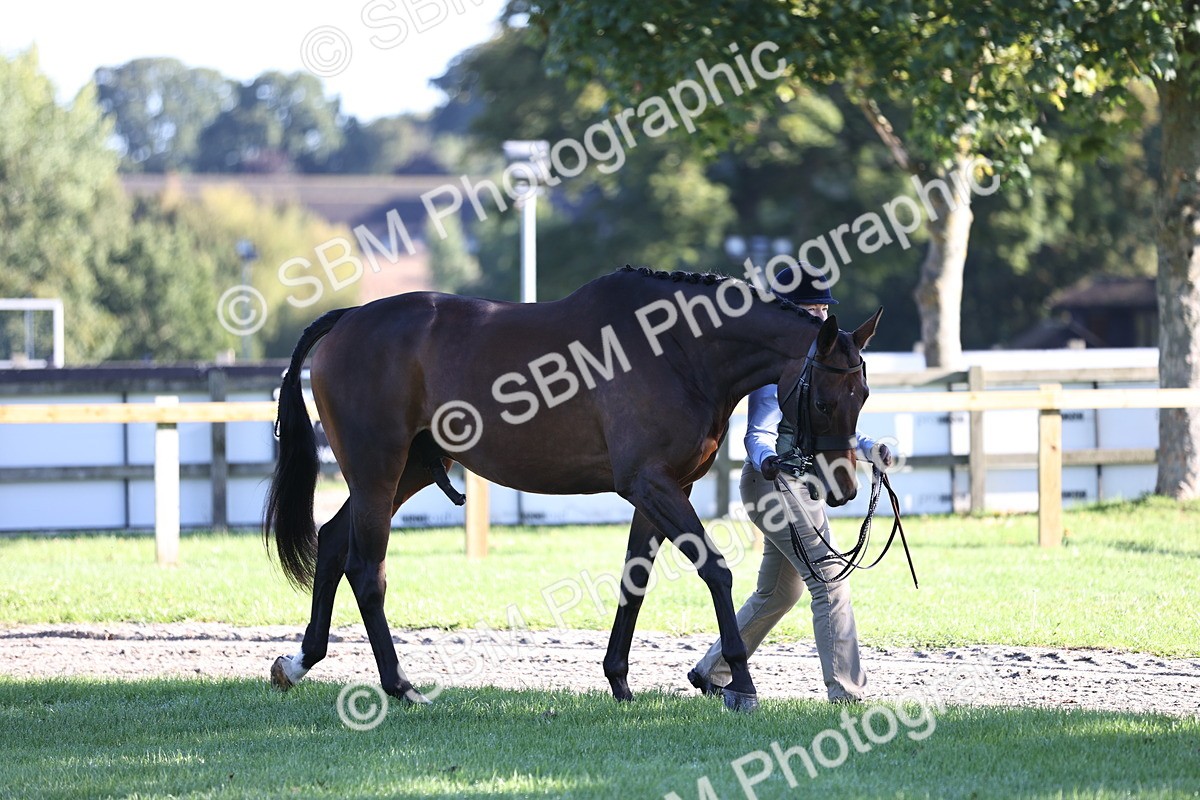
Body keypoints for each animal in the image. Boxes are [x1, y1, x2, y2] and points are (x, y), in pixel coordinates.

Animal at [264, 266, 882, 711]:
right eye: (825, 399)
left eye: (865, 396)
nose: (843, 486)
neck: (677, 349)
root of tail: (350, 319)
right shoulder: (650, 484)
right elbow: (716, 570)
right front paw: (742, 686)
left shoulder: (662, 491)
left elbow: (635, 581)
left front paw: (620, 682)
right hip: (378, 470)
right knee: (367, 570)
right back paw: (399, 685)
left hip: (403, 472)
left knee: (333, 541)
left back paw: (299, 662)